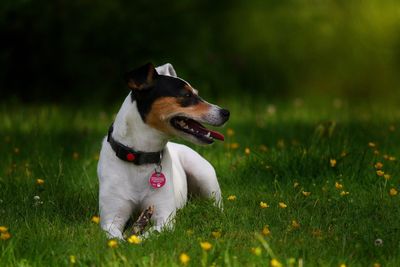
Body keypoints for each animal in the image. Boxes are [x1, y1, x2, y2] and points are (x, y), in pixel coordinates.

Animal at [97, 63, 230, 241]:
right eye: (186, 95)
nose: (226, 113)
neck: (140, 158)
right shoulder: (111, 219)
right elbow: (116, 239)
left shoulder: (164, 218)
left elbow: (147, 234)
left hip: (204, 176)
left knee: (217, 205)